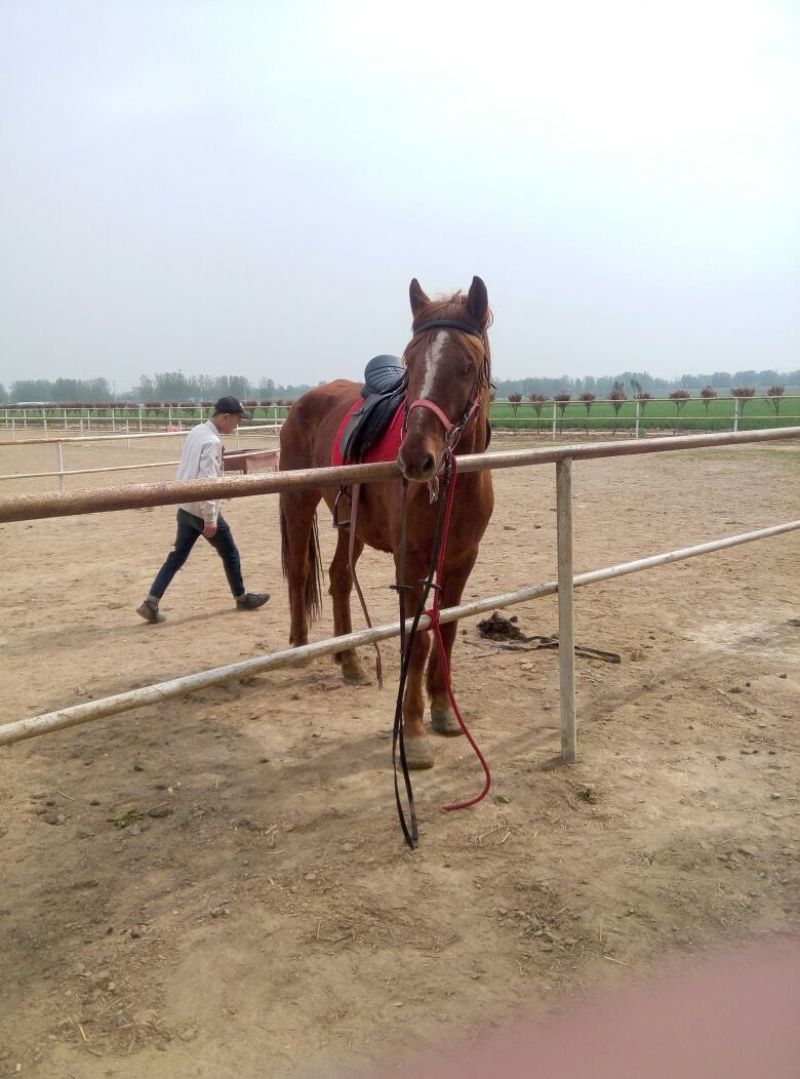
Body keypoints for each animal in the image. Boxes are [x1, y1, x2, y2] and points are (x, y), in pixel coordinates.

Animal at [278, 276, 494, 770]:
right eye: (409, 364)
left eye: (467, 366)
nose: (416, 459)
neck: (453, 483)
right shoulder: (410, 562)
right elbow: (416, 643)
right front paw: (412, 734)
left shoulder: (461, 560)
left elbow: (446, 630)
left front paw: (443, 711)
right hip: (297, 502)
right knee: (299, 572)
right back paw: (300, 647)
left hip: (350, 523)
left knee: (339, 576)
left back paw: (350, 661)